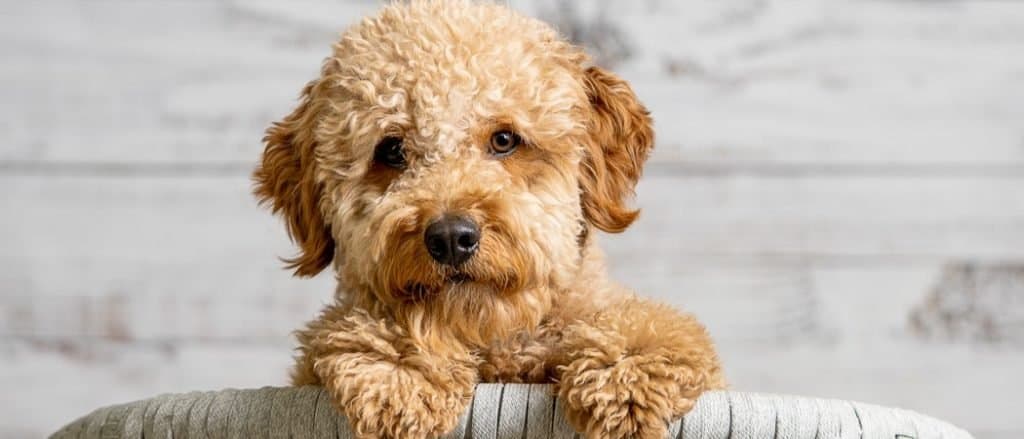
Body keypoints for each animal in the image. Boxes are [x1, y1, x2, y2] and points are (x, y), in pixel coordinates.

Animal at [251, 1, 724, 435]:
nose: (450, 238)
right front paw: (399, 370)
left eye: (504, 140)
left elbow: (652, 326)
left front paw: (626, 372)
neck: (498, 346)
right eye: (391, 150)